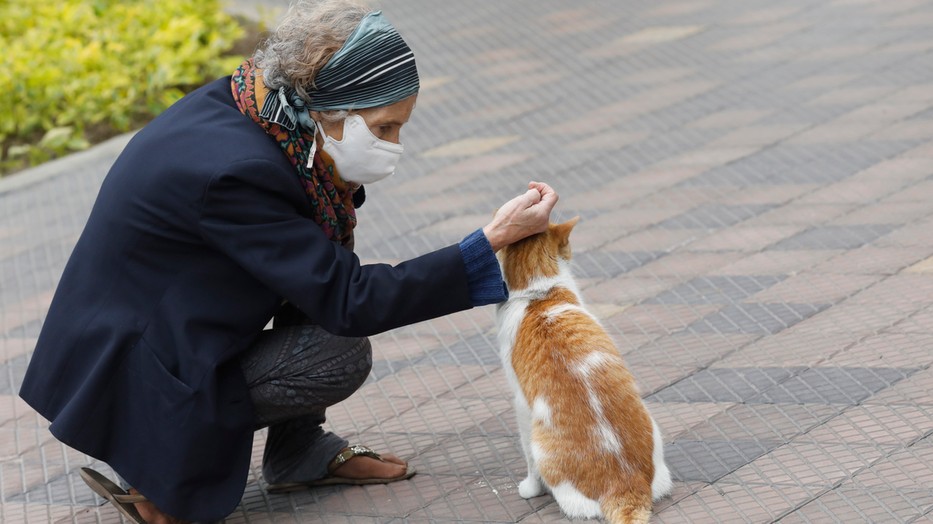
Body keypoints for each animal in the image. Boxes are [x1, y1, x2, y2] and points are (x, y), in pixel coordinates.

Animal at [496, 216, 668, 520]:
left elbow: (527, 457)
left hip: (543, 446)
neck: (539, 295)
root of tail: (626, 486)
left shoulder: (521, 403)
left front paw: (530, 488)